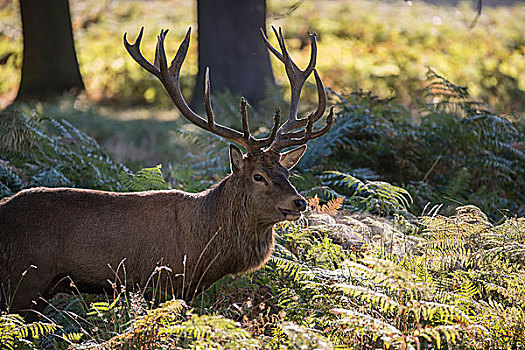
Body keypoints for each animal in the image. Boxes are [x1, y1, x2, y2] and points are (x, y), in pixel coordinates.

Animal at [0, 26, 334, 314]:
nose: (299, 202)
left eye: (287, 174)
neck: (203, 252)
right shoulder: (160, 282)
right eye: (258, 176)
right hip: (24, 280)